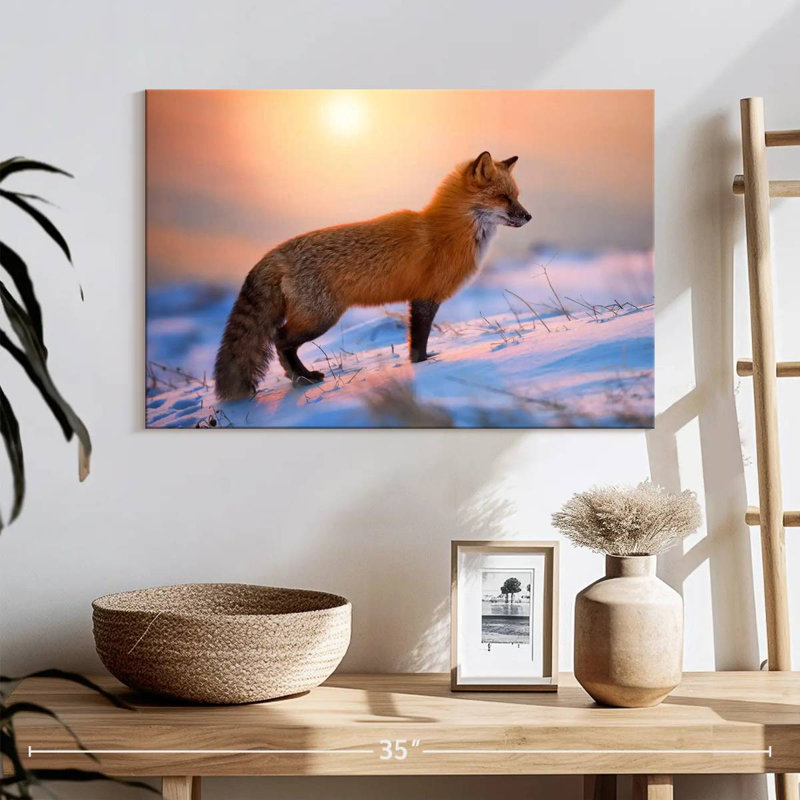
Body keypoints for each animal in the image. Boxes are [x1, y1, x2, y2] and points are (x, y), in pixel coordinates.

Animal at [214, 151, 531, 401]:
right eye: (503, 198)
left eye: (516, 196)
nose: (529, 217)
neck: (448, 233)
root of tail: (275, 253)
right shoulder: (425, 297)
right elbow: (419, 340)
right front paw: (422, 365)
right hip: (320, 318)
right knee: (280, 339)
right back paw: (303, 378)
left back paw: (300, 378)